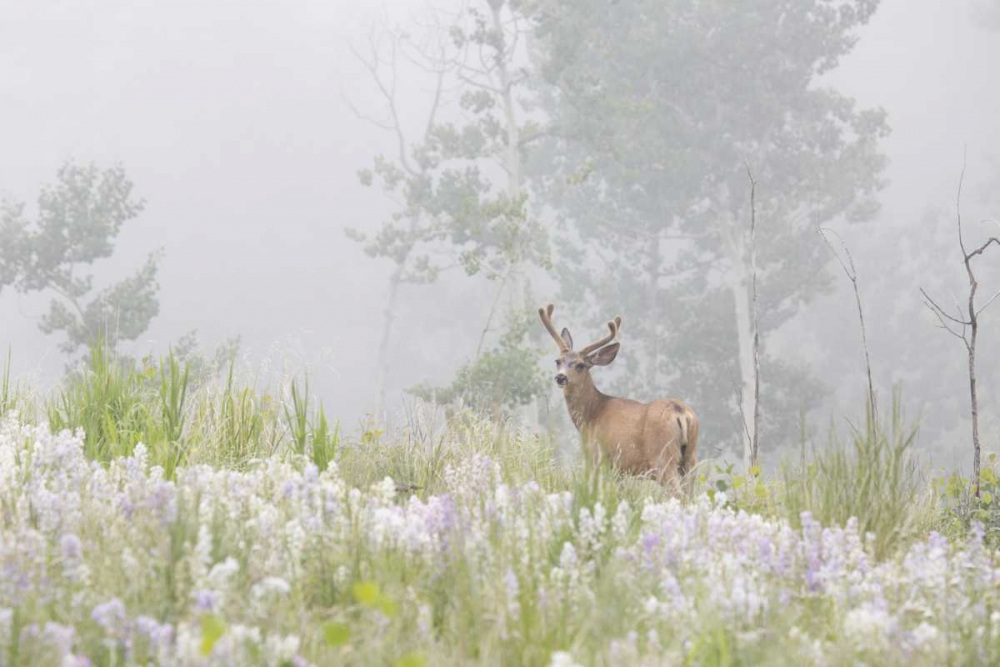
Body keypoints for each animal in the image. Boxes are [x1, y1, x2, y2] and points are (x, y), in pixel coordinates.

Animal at [544, 306, 700, 494]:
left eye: (580, 365)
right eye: (558, 361)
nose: (560, 377)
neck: (591, 415)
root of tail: (681, 412)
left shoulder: (599, 458)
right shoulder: (619, 470)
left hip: (663, 457)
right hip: (690, 458)